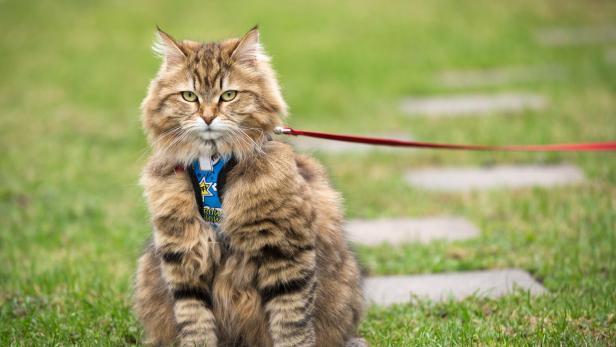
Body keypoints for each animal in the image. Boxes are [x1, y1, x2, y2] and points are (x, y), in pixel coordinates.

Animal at [134, 27, 366, 347]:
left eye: (229, 95)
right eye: (189, 96)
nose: (208, 117)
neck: (212, 163)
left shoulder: (284, 249)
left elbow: (291, 323)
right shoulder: (182, 252)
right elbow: (194, 319)